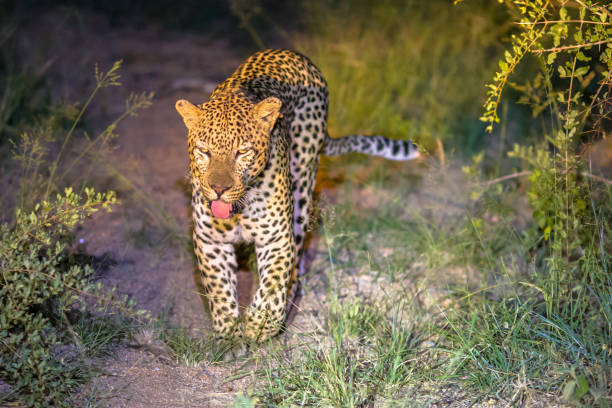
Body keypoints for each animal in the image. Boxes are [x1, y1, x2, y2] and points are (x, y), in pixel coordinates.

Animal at [175, 48, 418, 342]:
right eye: (204, 151)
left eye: (242, 152)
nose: (219, 189)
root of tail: (295, 55)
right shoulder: (210, 240)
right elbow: (219, 290)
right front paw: (230, 334)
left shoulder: (276, 238)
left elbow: (272, 286)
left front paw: (259, 325)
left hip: (303, 185)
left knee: (297, 253)